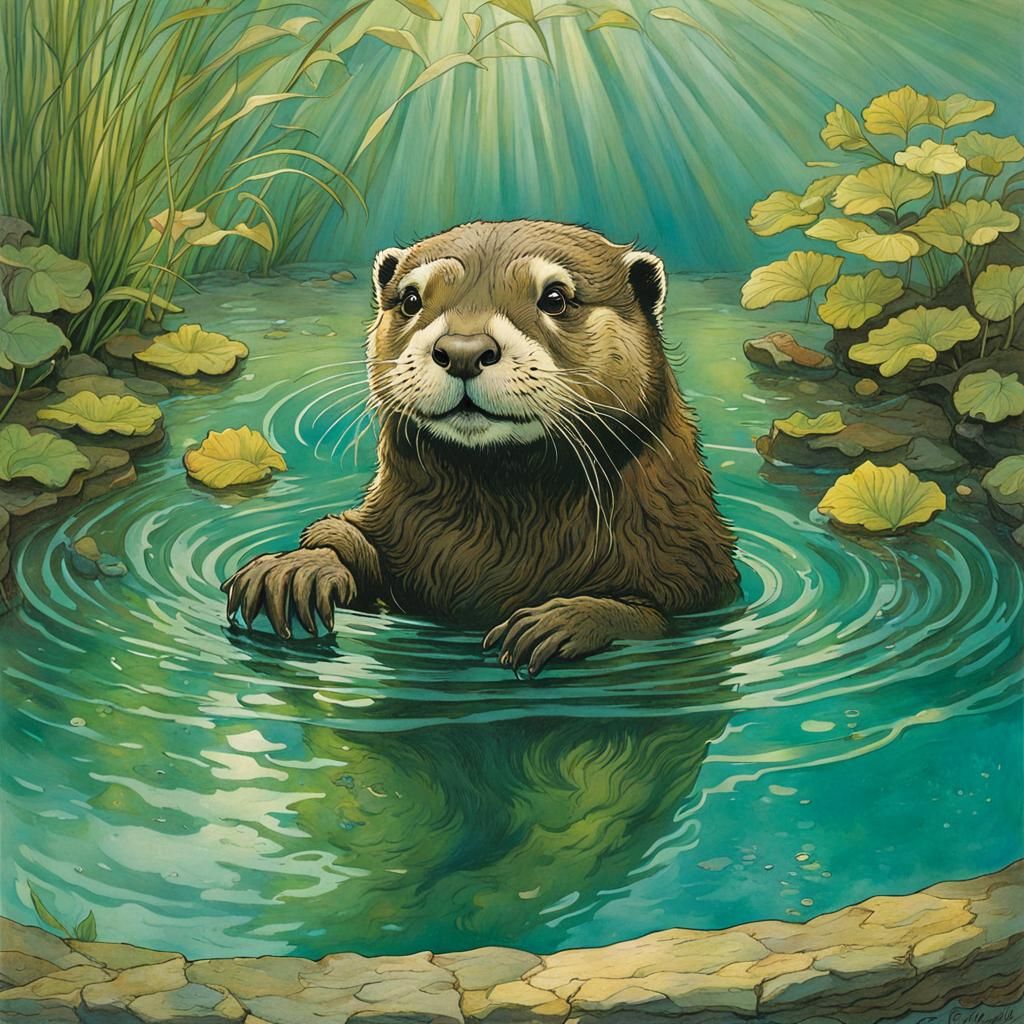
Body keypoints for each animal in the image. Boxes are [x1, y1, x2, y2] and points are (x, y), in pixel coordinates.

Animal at [222, 220, 738, 675]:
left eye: (554, 297)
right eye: (412, 299)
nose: (464, 350)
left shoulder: (694, 571)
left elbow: (653, 619)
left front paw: (560, 621)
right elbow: (349, 542)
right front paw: (295, 569)